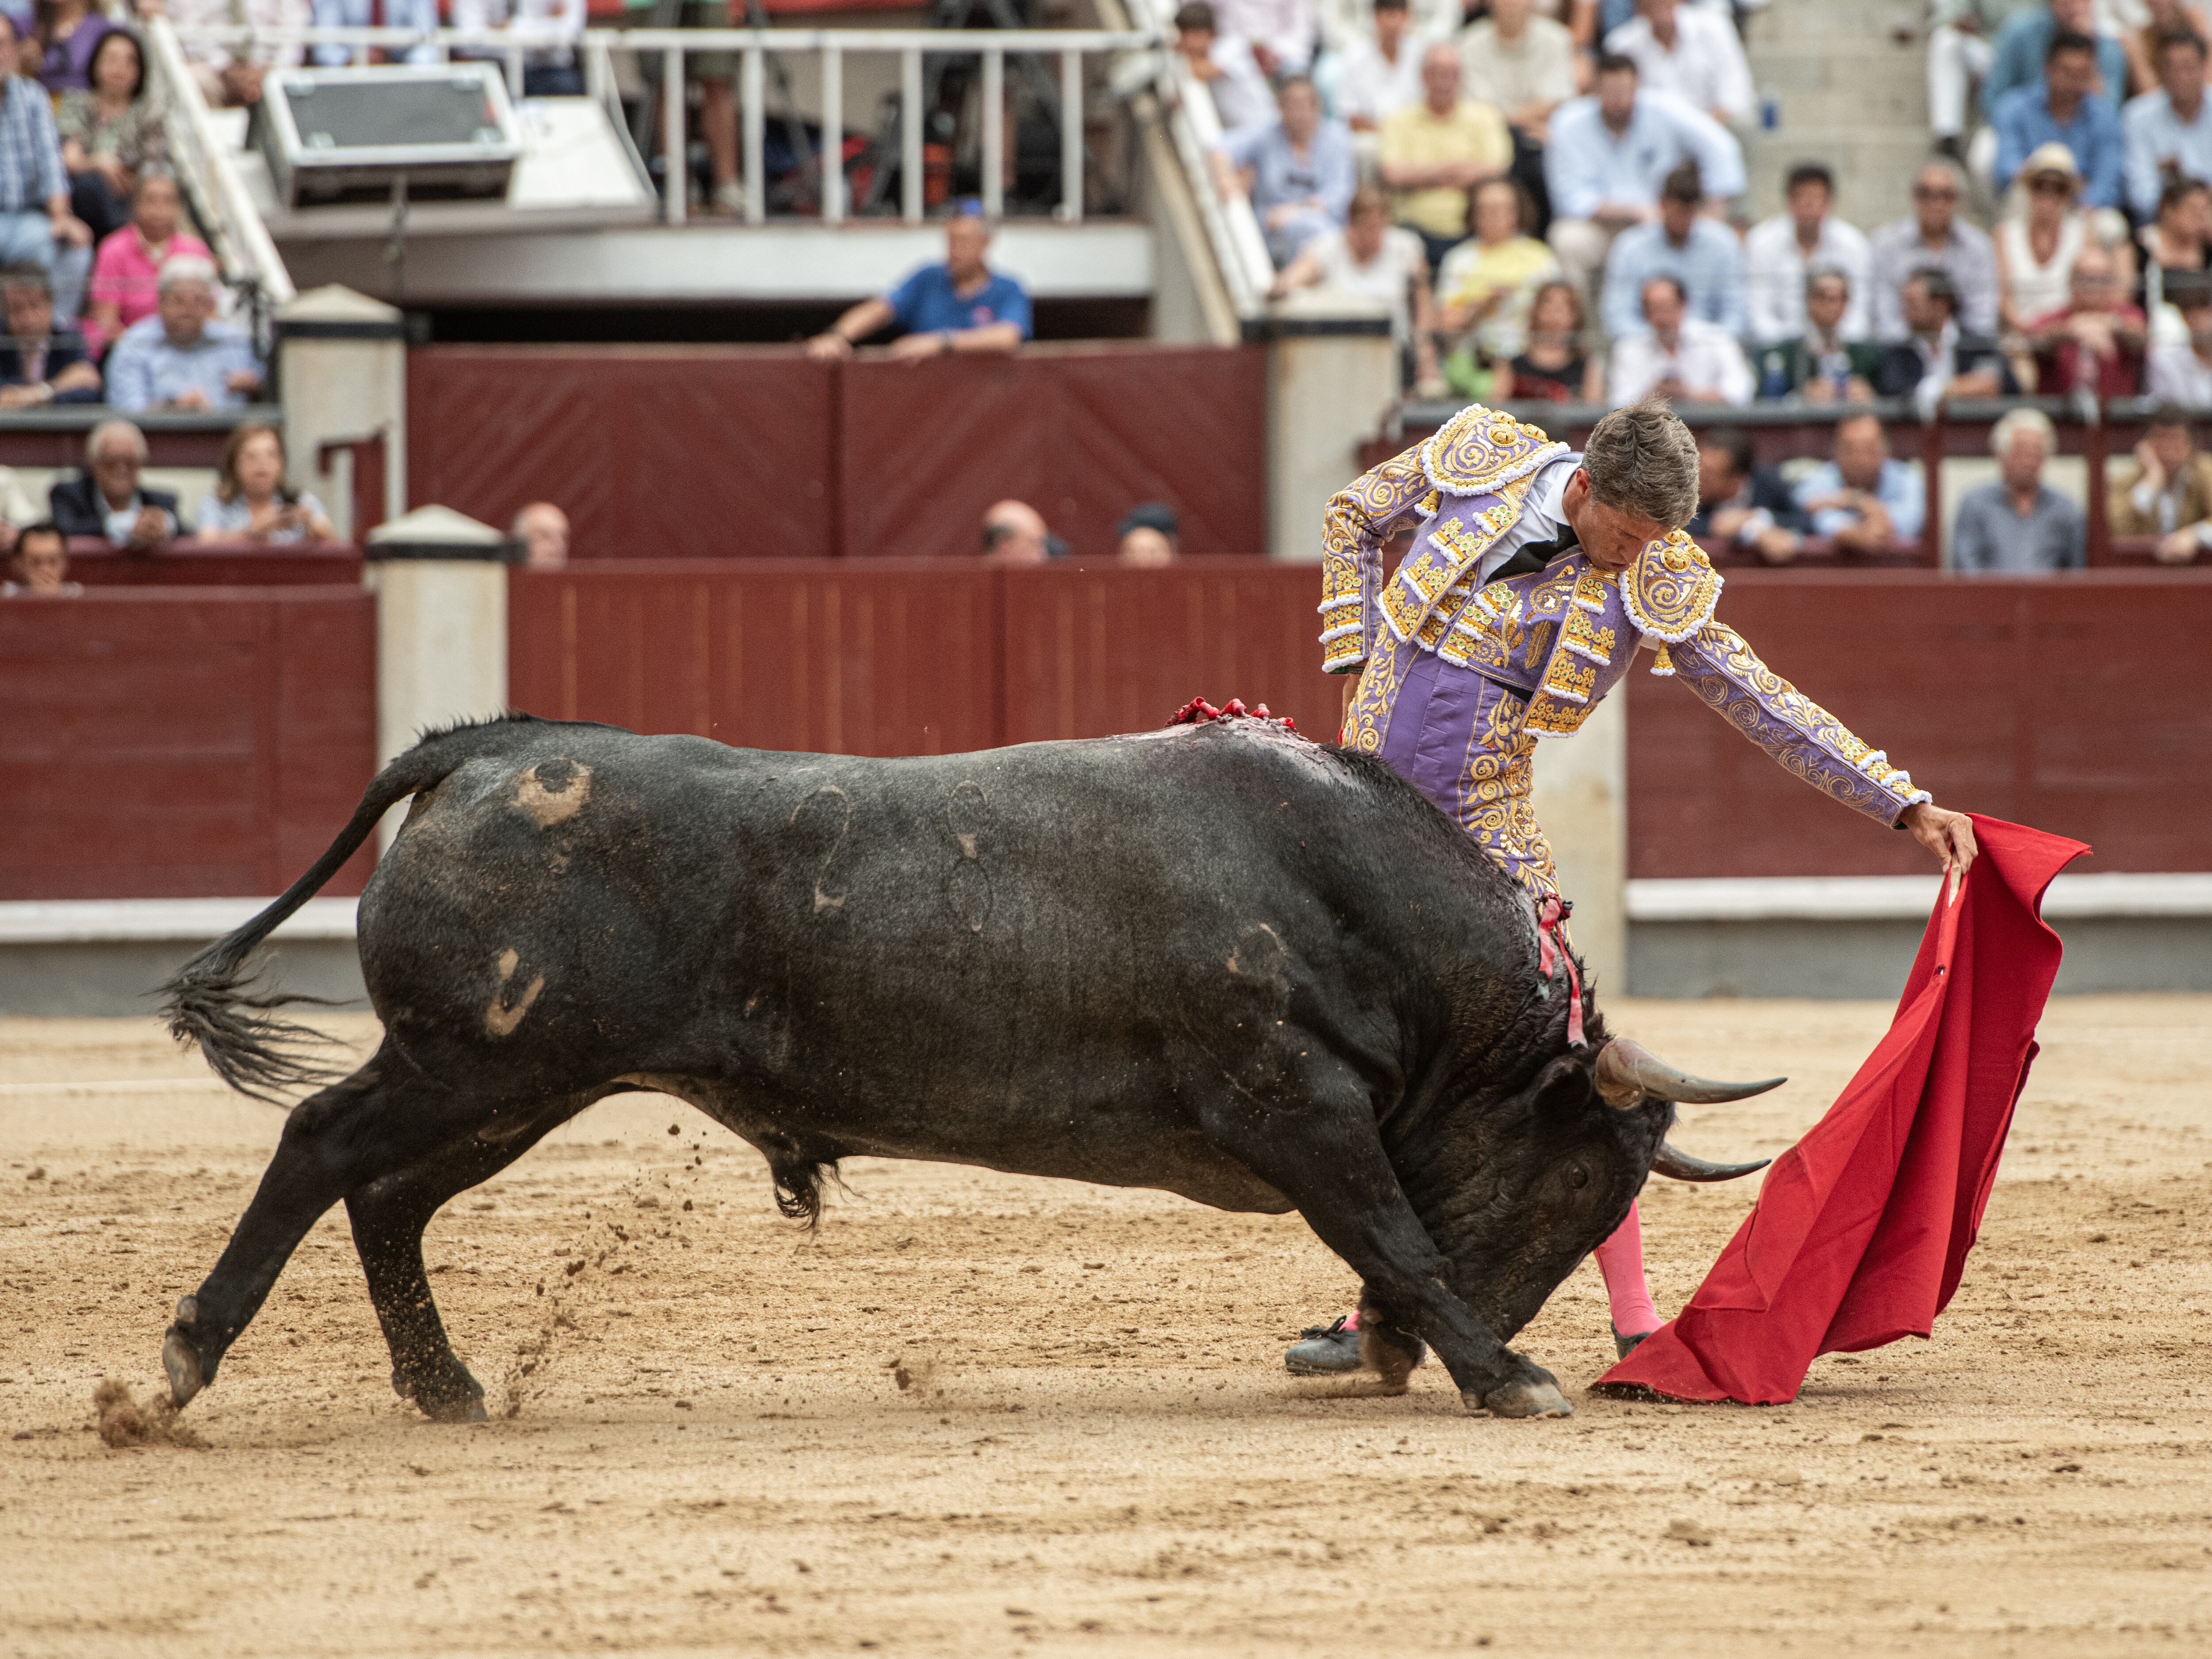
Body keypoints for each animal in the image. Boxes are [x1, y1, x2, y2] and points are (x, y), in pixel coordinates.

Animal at [164, 717, 1770, 1433]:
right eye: (1582, 1180)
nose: (1393, 1357)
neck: (1351, 889)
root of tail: (495, 750)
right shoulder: (1298, 1107)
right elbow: (1401, 1236)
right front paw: (1509, 1375)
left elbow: (1393, 1240)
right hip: (484, 1057)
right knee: (321, 1144)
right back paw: (185, 1361)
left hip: (520, 1078)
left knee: (390, 1199)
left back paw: (445, 1386)